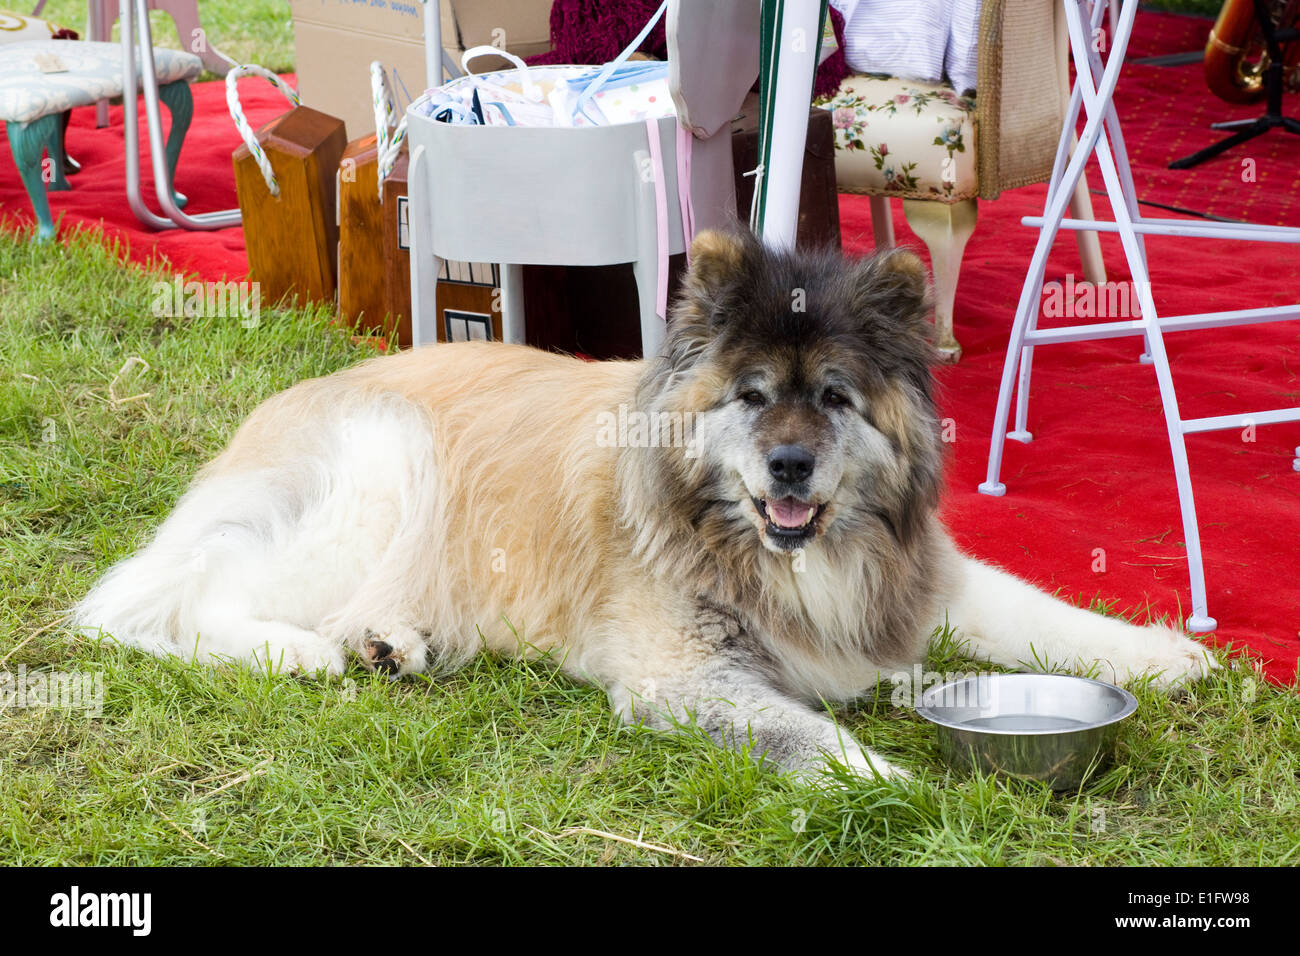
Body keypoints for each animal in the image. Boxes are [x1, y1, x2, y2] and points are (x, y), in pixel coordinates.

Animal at [73, 230, 1216, 780]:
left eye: (832, 398)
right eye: (751, 396)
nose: (790, 467)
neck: (775, 549)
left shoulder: (918, 582)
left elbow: (1043, 612)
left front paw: (1168, 656)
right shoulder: (686, 675)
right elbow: (815, 738)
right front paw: (901, 782)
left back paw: (388, 642)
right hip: (382, 469)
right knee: (172, 600)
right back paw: (300, 651)